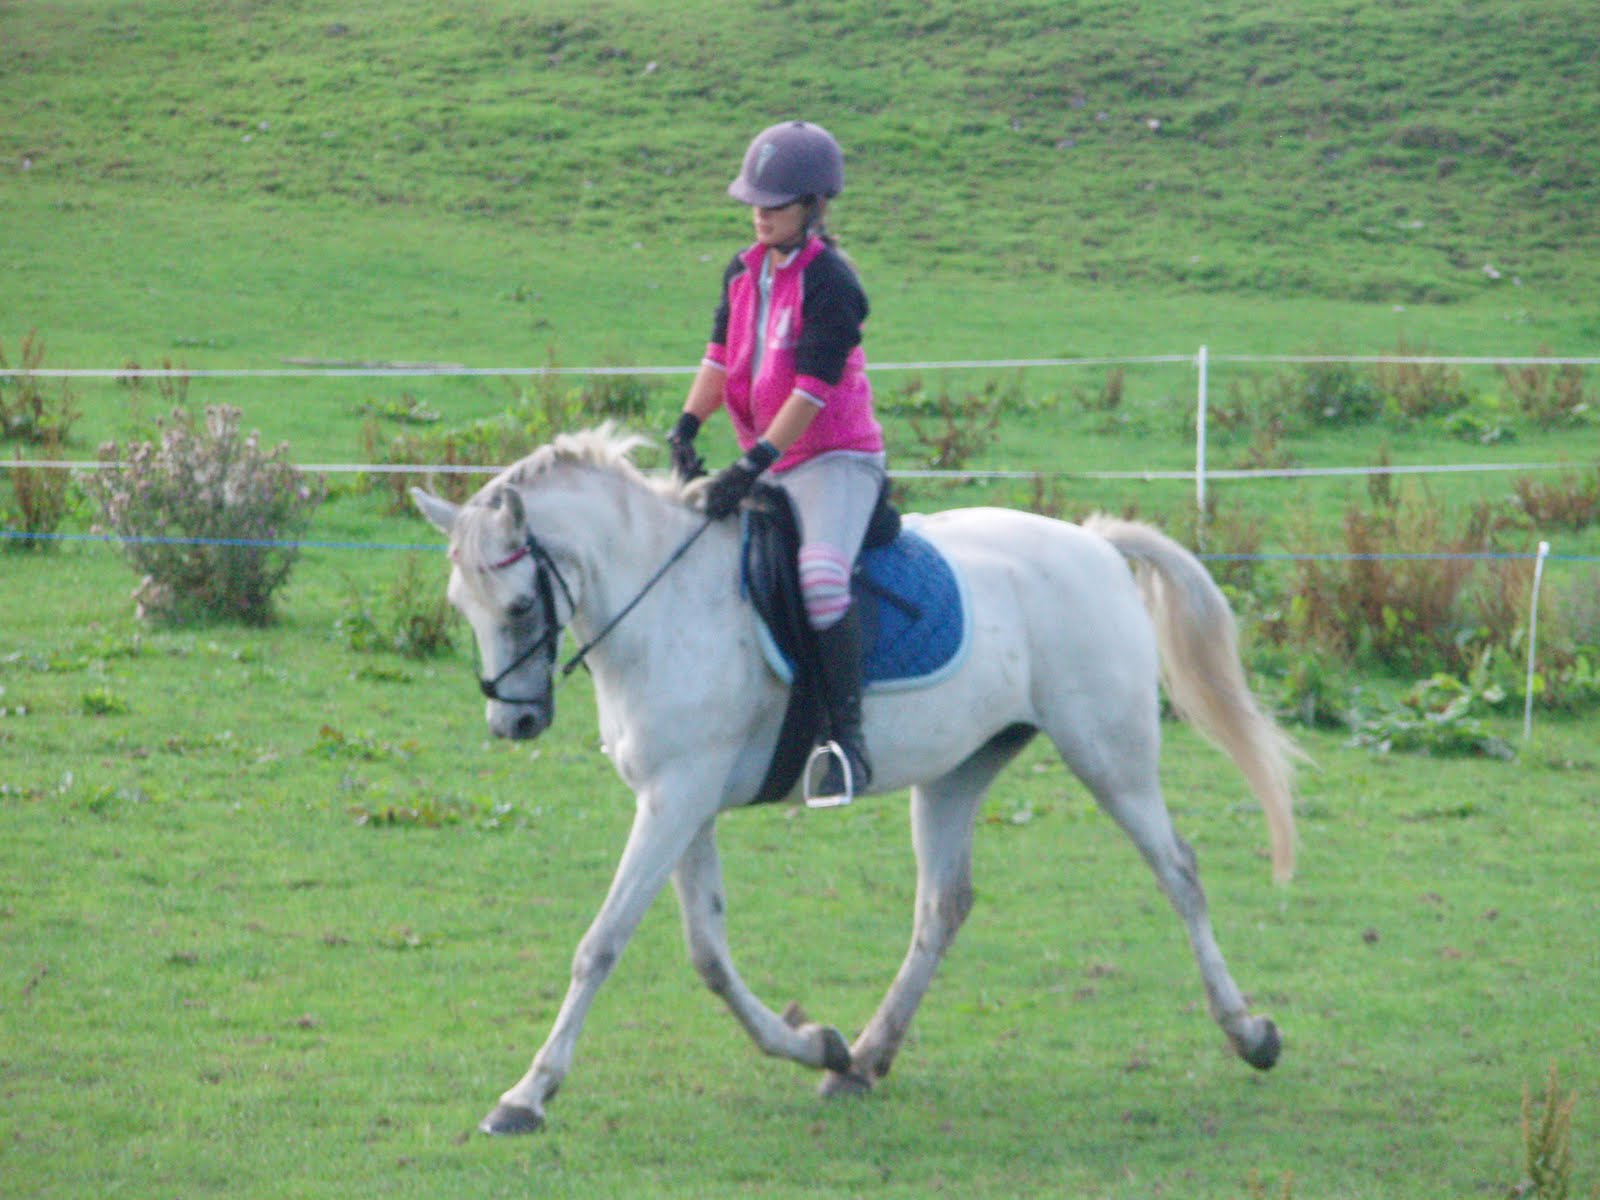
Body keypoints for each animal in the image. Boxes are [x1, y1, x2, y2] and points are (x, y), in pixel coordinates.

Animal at [411, 424, 1299, 1136]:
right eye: (462, 603)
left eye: (520, 606)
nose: (515, 723)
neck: (663, 604)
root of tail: (1097, 544)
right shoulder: (680, 802)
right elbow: (708, 952)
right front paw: (815, 1044)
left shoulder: (675, 800)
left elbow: (602, 944)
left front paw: (526, 1095)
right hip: (957, 772)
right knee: (942, 908)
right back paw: (865, 1058)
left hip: (1108, 754)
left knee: (1178, 872)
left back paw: (1250, 1034)